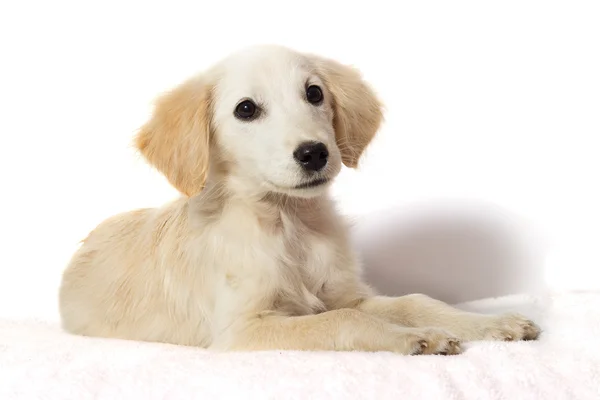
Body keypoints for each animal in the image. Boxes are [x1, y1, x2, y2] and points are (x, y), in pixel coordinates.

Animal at [58, 45, 540, 354]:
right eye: (246, 109)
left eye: (314, 93)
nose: (314, 153)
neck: (288, 224)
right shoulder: (243, 330)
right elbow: (343, 321)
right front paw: (414, 337)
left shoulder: (346, 294)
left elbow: (414, 302)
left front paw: (491, 323)